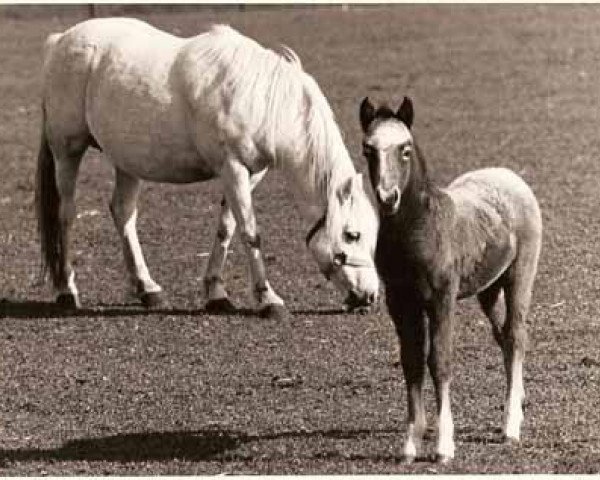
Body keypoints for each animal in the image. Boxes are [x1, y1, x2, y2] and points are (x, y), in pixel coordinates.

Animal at [36, 16, 380, 316]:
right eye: (352, 235)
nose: (370, 296)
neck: (263, 101)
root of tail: (60, 40)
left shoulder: (248, 174)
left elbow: (227, 227)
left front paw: (216, 293)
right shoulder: (232, 168)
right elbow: (250, 232)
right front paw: (268, 299)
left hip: (127, 161)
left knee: (123, 213)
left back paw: (147, 288)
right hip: (67, 152)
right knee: (66, 215)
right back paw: (67, 291)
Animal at [360, 96, 544, 462]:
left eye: (405, 149)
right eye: (368, 149)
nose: (388, 197)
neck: (418, 231)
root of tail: (511, 177)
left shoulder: (441, 298)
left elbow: (439, 361)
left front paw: (444, 445)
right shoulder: (400, 303)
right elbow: (412, 363)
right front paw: (410, 443)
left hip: (520, 277)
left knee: (516, 336)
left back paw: (510, 426)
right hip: (488, 290)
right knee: (502, 337)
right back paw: (517, 403)